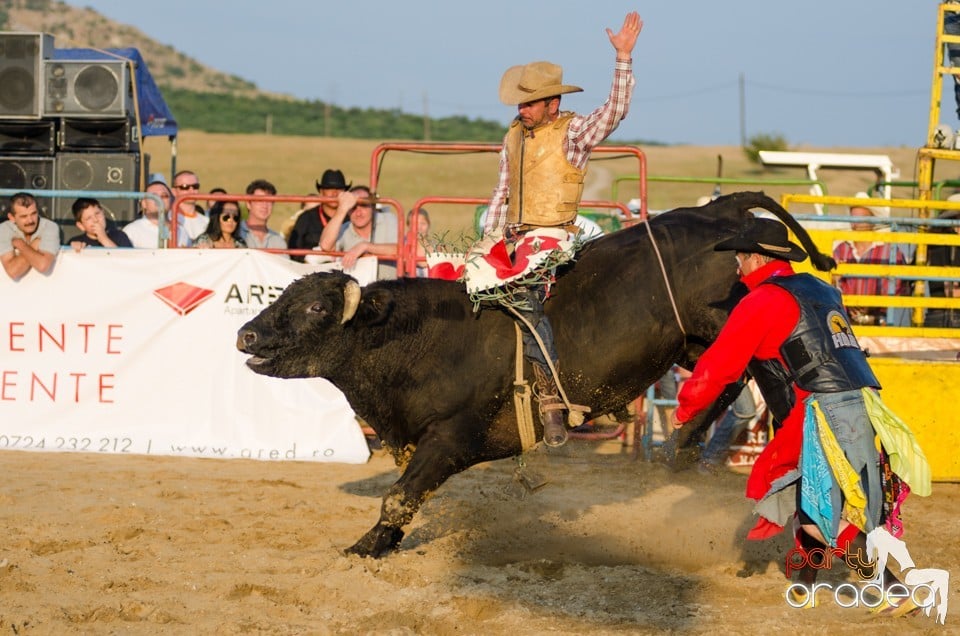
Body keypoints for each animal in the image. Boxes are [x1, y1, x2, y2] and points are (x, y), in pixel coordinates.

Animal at [234, 191, 832, 560]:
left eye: (316, 308)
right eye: (282, 297)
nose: (246, 336)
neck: (421, 341)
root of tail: (720, 210)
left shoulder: (450, 439)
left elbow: (400, 496)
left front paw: (367, 546)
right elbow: (402, 497)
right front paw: (380, 544)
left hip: (727, 321)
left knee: (765, 373)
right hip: (691, 343)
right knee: (730, 380)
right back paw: (682, 447)